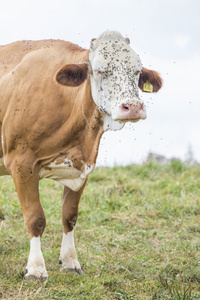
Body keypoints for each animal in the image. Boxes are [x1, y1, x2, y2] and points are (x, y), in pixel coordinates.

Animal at [0, 30, 162, 278]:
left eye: (136, 72)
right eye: (100, 71)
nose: (133, 107)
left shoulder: (83, 166)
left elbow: (69, 216)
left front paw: (69, 261)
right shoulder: (20, 161)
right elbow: (35, 218)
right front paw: (36, 268)